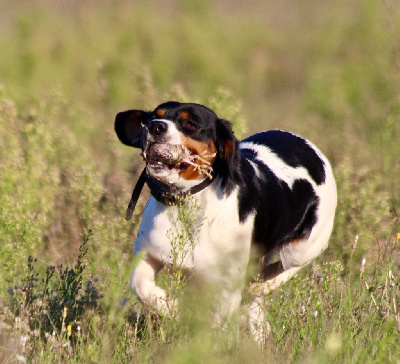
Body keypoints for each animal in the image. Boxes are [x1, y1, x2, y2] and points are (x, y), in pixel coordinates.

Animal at [114, 100, 336, 342]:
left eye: (190, 124)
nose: (156, 126)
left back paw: (263, 284)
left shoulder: (227, 284)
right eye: (153, 116)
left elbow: (220, 326)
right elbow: (140, 285)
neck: (186, 201)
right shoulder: (147, 251)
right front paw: (174, 309)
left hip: (307, 244)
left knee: (290, 264)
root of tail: (307, 145)